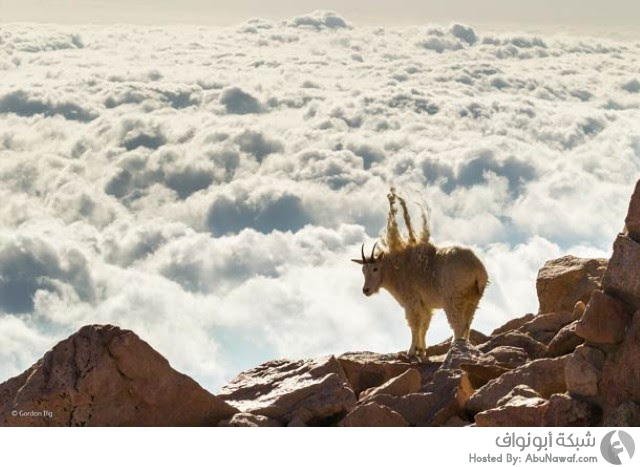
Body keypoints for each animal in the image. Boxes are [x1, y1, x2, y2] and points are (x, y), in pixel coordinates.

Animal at [352, 188, 488, 360]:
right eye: (363, 270)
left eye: (375, 269)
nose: (366, 290)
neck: (395, 269)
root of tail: (477, 269)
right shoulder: (425, 304)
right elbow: (424, 325)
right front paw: (421, 351)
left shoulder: (411, 301)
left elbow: (415, 325)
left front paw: (411, 351)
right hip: (473, 298)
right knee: (468, 322)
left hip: (453, 298)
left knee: (457, 324)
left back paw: (454, 349)